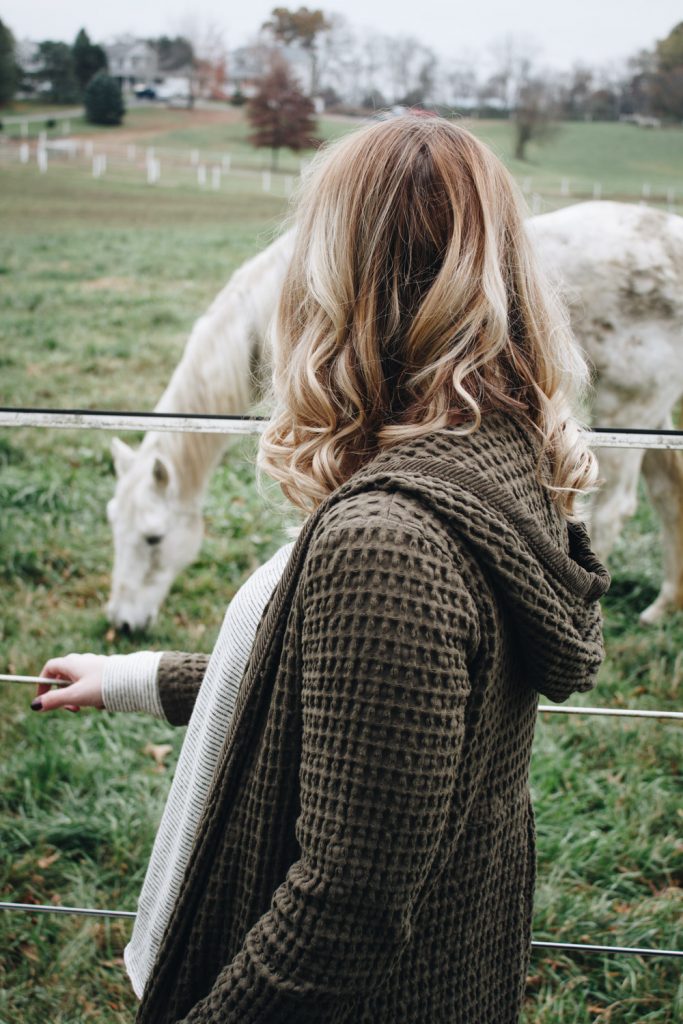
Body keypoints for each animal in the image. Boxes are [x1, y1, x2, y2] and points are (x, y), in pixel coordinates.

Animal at [107, 201, 683, 630]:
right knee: (667, 493)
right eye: (115, 524)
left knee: (615, 510)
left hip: (630, 403)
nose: (122, 624)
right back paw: (663, 608)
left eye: (153, 539)